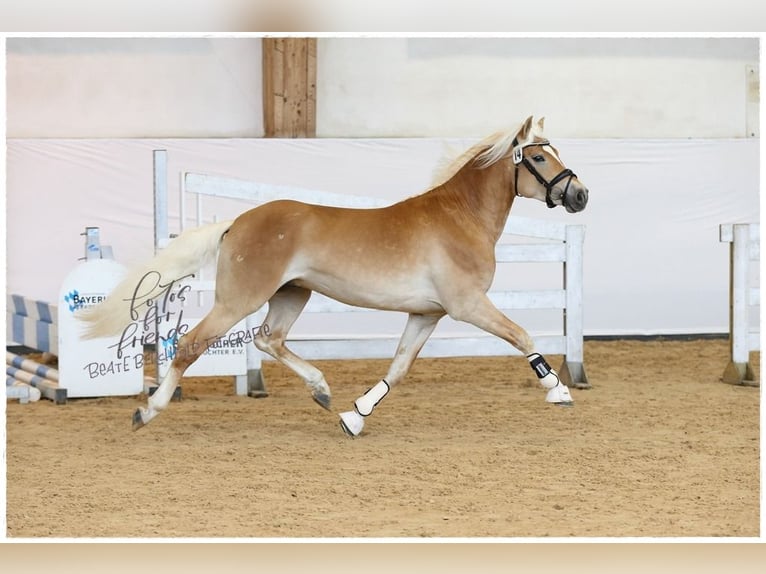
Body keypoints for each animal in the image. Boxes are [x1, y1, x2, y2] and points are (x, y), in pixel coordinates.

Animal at [78, 116, 592, 436]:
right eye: (539, 158)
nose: (580, 196)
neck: (458, 218)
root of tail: (237, 222)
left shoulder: (427, 314)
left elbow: (398, 368)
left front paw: (355, 416)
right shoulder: (467, 306)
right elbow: (523, 335)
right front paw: (559, 390)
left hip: (292, 295)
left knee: (269, 339)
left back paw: (322, 392)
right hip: (239, 300)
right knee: (191, 345)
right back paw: (147, 411)